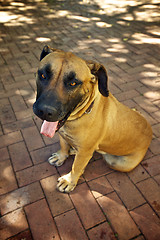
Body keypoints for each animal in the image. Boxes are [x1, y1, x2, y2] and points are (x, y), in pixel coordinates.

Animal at [32, 46, 152, 193]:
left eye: (73, 83)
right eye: (43, 75)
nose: (44, 111)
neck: (80, 114)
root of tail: (150, 133)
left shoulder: (84, 152)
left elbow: (76, 167)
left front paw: (69, 181)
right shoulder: (62, 135)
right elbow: (64, 145)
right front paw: (62, 156)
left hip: (119, 163)